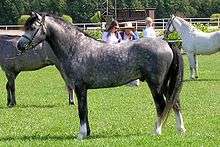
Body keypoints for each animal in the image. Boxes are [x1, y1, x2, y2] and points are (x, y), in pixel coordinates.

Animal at [16, 12, 186, 139]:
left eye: (32, 27)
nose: (19, 45)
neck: (76, 47)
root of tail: (166, 43)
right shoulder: (83, 89)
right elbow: (85, 109)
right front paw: (87, 133)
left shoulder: (79, 87)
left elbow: (81, 110)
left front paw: (81, 135)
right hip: (166, 84)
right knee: (175, 103)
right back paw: (181, 129)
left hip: (156, 84)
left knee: (162, 105)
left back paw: (157, 131)